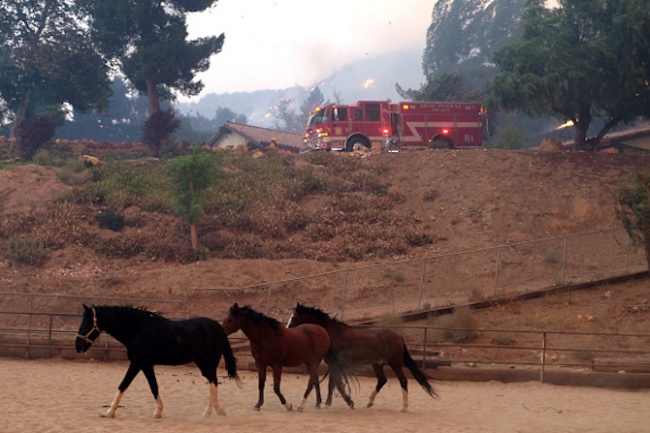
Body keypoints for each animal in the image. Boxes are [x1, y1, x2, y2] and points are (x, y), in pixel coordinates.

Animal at [76, 302, 238, 416]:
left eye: (86, 323)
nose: (77, 346)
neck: (138, 329)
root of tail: (219, 329)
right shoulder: (146, 365)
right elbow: (154, 386)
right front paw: (158, 411)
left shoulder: (136, 363)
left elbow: (123, 384)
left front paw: (109, 412)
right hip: (203, 364)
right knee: (213, 382)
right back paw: (217, 410)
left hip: (207, 364)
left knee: (213, 382)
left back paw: (209, 412)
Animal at [284, 302, 432, 410]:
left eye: (294, 317)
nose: (287, 330)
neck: (333, 334)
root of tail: (398, 337)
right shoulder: (333, 365)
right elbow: (333, 384)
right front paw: (328, 402)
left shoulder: (337, 364)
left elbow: (337, 384)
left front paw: (348, 402)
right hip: (377, 364)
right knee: (382, 381)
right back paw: (369, 403)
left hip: (394, 363)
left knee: (403, 381)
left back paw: (404, 407)